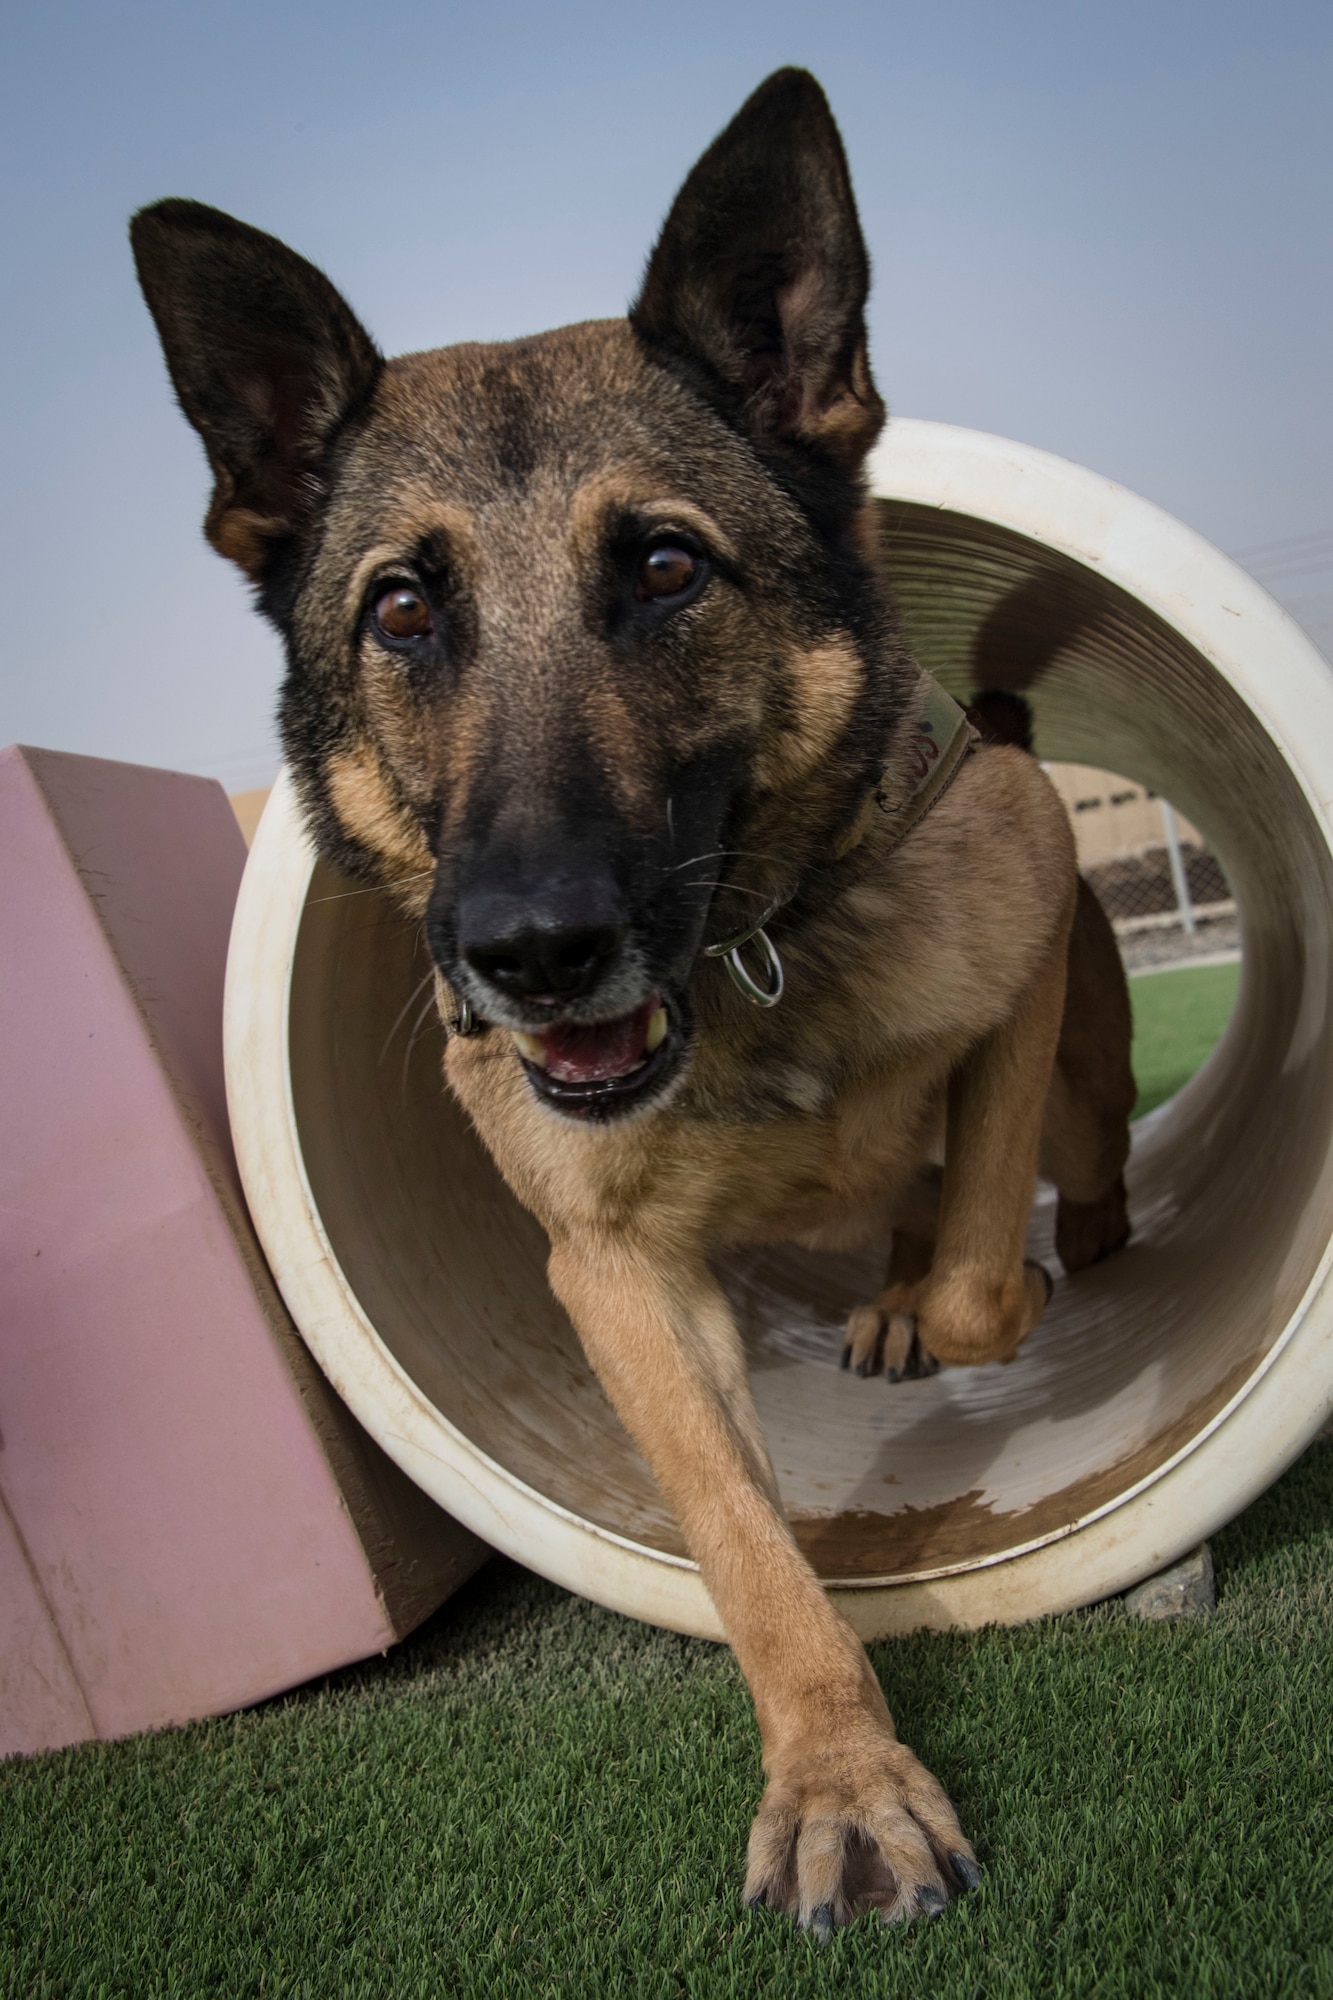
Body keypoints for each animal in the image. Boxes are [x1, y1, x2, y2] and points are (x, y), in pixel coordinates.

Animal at [132, 74, 1128, 1936]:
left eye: (665, 570)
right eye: (402, 607)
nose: (528, 951)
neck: (746, 982)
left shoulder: (1019, 923)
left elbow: (976, 1255)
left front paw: (990, 1295)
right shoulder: (615, 1279)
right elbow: (742, 1540)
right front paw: (838, 1781)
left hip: (1087, 1054)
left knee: (1061, 1155)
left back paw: (1063, 1248)